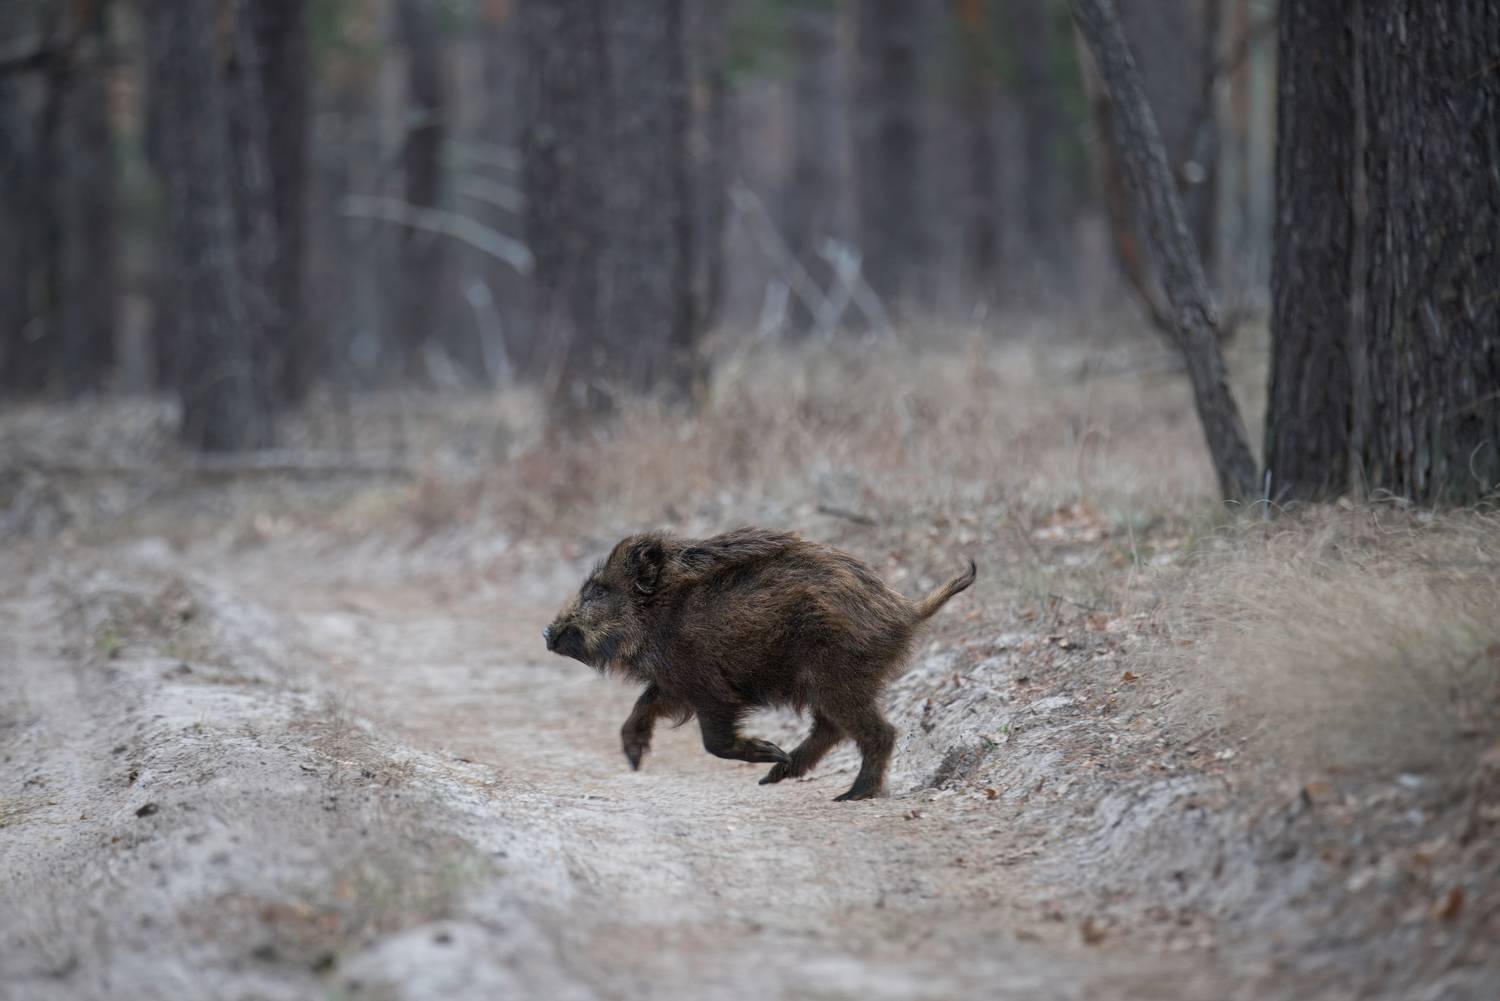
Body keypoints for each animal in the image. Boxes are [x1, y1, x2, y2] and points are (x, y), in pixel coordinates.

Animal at [543, 527, 976, 801]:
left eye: (598, 591)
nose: (547, 633)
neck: (660, 614)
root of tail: (907, 609)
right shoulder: (675, 683)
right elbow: (642, 706)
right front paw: (634, 759)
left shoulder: (709, 687)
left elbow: (712, 741)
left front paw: (767, 749)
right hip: (835, 684)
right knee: (832, 729)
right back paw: (775, 776)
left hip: (838, 677)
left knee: (877, 731)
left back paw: (848, 794)